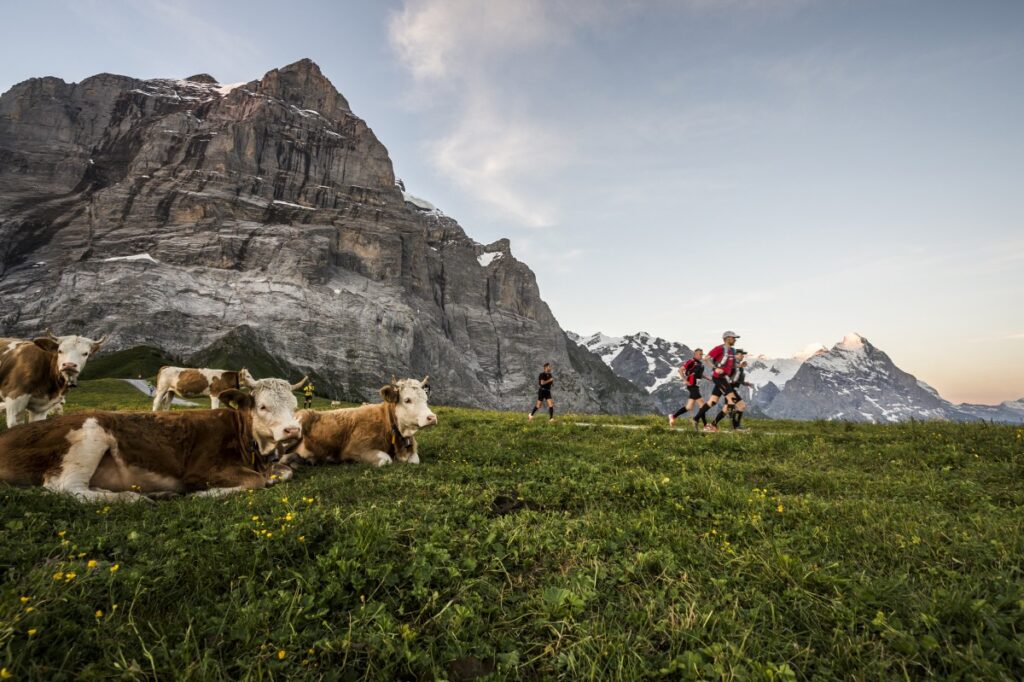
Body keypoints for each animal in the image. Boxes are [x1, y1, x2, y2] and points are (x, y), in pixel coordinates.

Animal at [0, 376, 305, 499]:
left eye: (294, 405)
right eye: (263, 406)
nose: (293, 430)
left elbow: (286, 472)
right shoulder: (200, 469)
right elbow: (255, 482)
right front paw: (203, 494)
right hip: (88, 437)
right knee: (65, 488)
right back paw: (133, 499)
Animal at [284, 376, 436, 466]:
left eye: (426, 399)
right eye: (407, 400)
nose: (432, 417)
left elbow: (415, 460)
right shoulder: (355, 450)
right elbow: (385, 459)